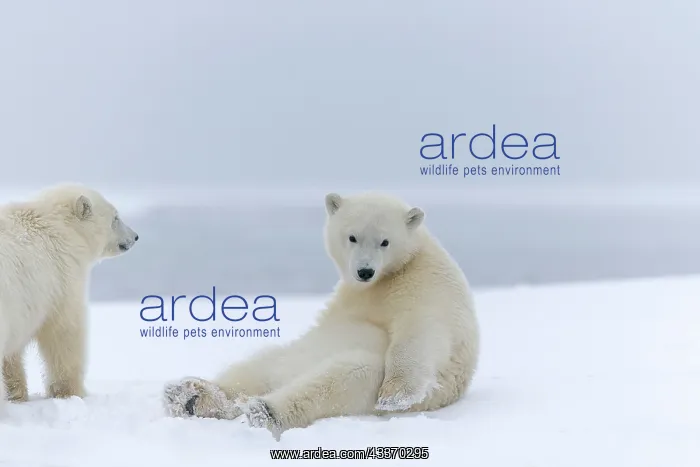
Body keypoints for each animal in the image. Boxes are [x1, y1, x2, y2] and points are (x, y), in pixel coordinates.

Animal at [0, 183, 139, 415]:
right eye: (116, 217)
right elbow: (64, 332)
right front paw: (70, 392)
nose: (135, 237)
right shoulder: (61, 276)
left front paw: (16, 394)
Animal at [162, 191, 479, 438]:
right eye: (352, 237)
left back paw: (264, 411)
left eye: (385, 241)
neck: (387, 279)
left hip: (352, 379)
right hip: (287, 356)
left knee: (343, 378)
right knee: (252, 370)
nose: (365, 271)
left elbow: (419, 333)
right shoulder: (350, 299)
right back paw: (189, 394)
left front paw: (394, 395)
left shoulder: (427, 287)